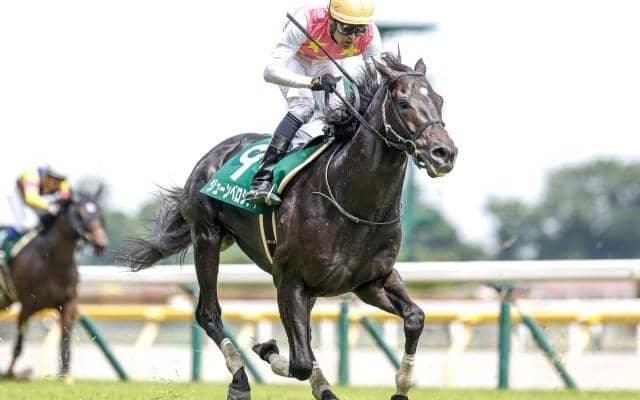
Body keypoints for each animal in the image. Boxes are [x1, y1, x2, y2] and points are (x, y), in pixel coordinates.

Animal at [1, 188, 108, 379]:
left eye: (99, 213)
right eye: (80, 214)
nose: (101, 243)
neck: (54, 263)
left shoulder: (68, 304)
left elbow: (65, 341)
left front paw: (65, 377)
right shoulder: (27, 306)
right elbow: (18, 345)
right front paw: (10, 373)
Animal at [123, 53, 457, 400]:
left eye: (439, 100)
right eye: (404, 103)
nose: (444, 153)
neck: (352, 202)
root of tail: (214, 155)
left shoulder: (371, 280)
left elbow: (415, 317)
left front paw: (400, 388)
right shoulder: (289, 281)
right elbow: (300, 362)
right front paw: (266, 348)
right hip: (207, 237)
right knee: (209, 314)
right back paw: (241, 381)